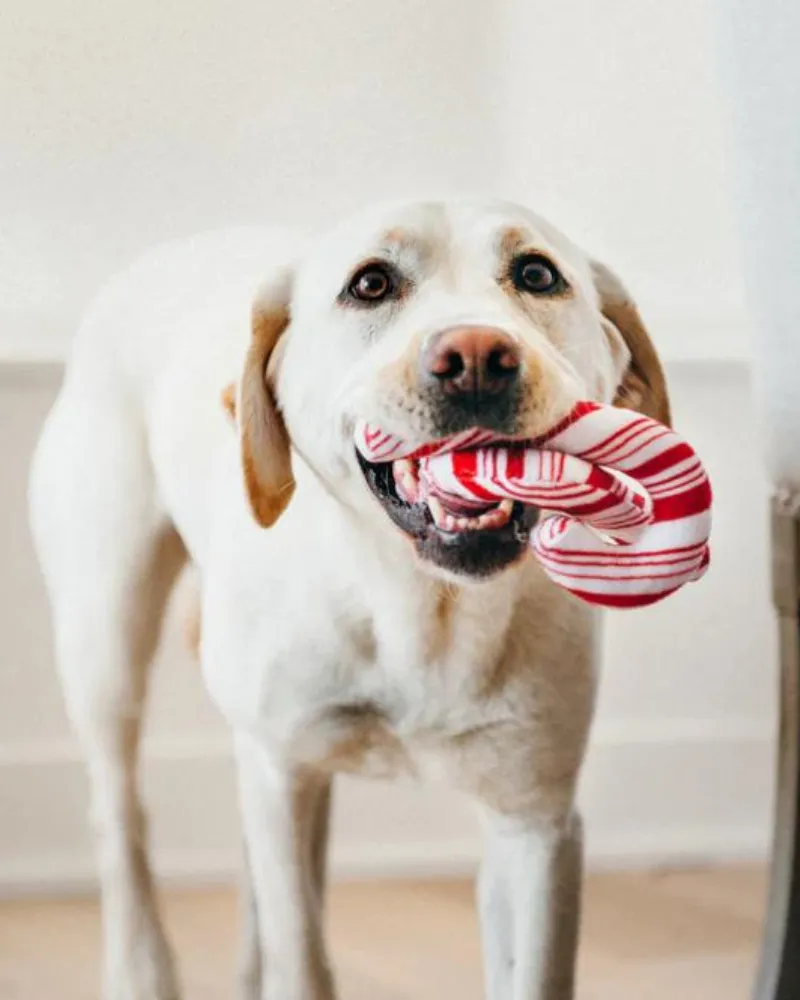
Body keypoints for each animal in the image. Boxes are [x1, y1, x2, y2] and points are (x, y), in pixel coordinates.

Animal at [28, 197, 668, 1000]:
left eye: (536, 275)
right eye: (370, 284)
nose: (477, 357)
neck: (419, 608)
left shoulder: (537, 824)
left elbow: (532, 971)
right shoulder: (278, 771)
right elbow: (301, 959)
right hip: (107, 645)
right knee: (120, 819)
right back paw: (140, 969)